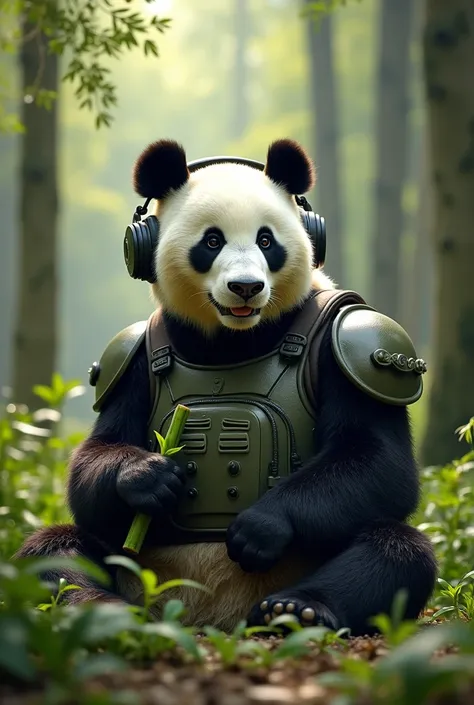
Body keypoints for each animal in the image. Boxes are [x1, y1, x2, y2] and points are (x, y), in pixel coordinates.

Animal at [14, 136, 436, 632]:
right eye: (211, 241)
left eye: (266, 240)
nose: (246, 287)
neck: (233, 339)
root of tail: (210, 614)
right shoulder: (130, 357)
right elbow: (97, 461)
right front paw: (149, 476)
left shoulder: (354, 345)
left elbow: (378, 460)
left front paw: (260, 527)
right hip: (138, 565)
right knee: (52, 550)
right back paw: (106, 610)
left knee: (397, 549)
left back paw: (296, 608)